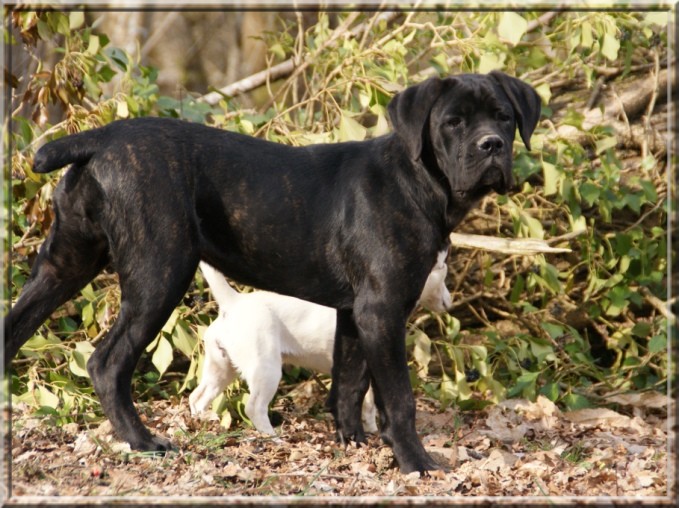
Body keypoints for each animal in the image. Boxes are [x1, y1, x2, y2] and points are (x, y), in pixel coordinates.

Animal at [189, 252, 452, 434]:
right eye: (443, 270)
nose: (449, 301)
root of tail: (233, 302)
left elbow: (366, 406)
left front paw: (371, 431)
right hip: (266, 370)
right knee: (254, 407)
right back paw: (273, 437)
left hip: (221, 369)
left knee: (197, 397)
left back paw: (202, 421)